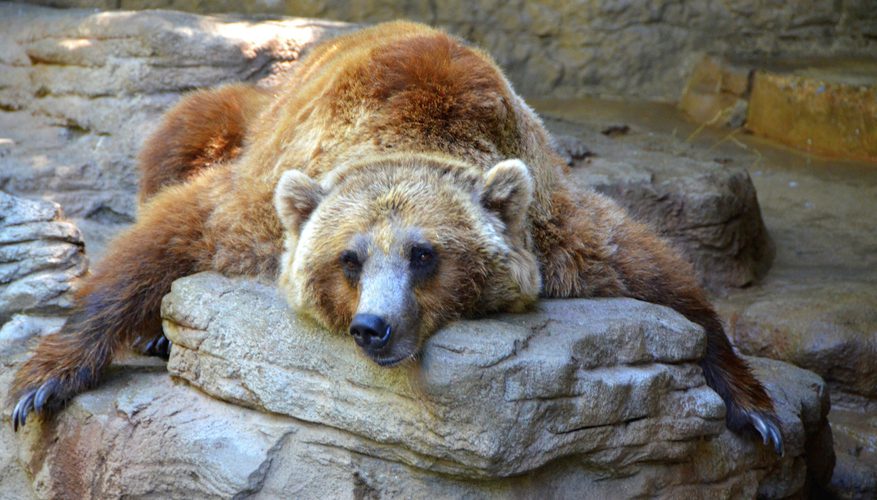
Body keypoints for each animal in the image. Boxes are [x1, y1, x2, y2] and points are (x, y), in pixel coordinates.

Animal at [10, 21, 780, 456]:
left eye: (424, 254)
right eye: (348, 259)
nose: (373, 327)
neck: (417, 127)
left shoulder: (553, 221)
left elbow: (656, 271)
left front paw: (754, 408)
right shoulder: (260, 202)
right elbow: (169, 233)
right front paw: (42, 381)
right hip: (247, 115)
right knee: (181, 133)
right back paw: (156, 335)